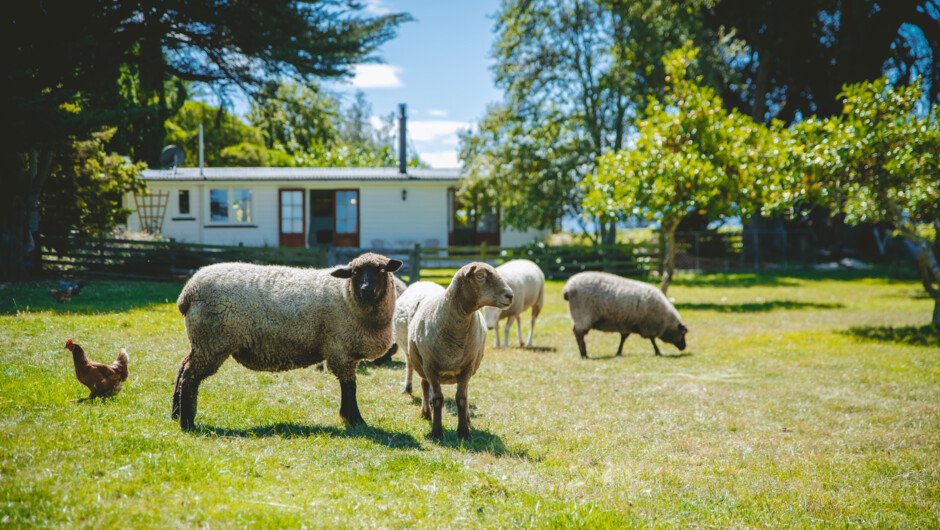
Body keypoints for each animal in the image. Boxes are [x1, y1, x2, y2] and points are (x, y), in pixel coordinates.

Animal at [171, 253, 402, 430]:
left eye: (382, 270)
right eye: (355, 272)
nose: (366, 290)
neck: (346, 295)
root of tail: (188, 291)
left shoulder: (346, 353)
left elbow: (349, 386)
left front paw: (350, 418)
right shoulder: (340, 350)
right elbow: (349, 387)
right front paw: (354, 420)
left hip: (202, 343)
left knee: (182, 367)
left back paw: (175, 413)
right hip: (212, 342)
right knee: (190, 376)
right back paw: (187, 423)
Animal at [408, 262, 513, 440]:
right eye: (480, 276)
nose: (510, 295)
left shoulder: (467, 366)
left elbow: (462, 398)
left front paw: (464, 431)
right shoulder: (430, 366)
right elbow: (437, 398)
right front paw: (436, 432)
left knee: (465, 391)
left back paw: (467, 418)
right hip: (422, 364)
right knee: (424, 384)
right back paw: (426, 413)